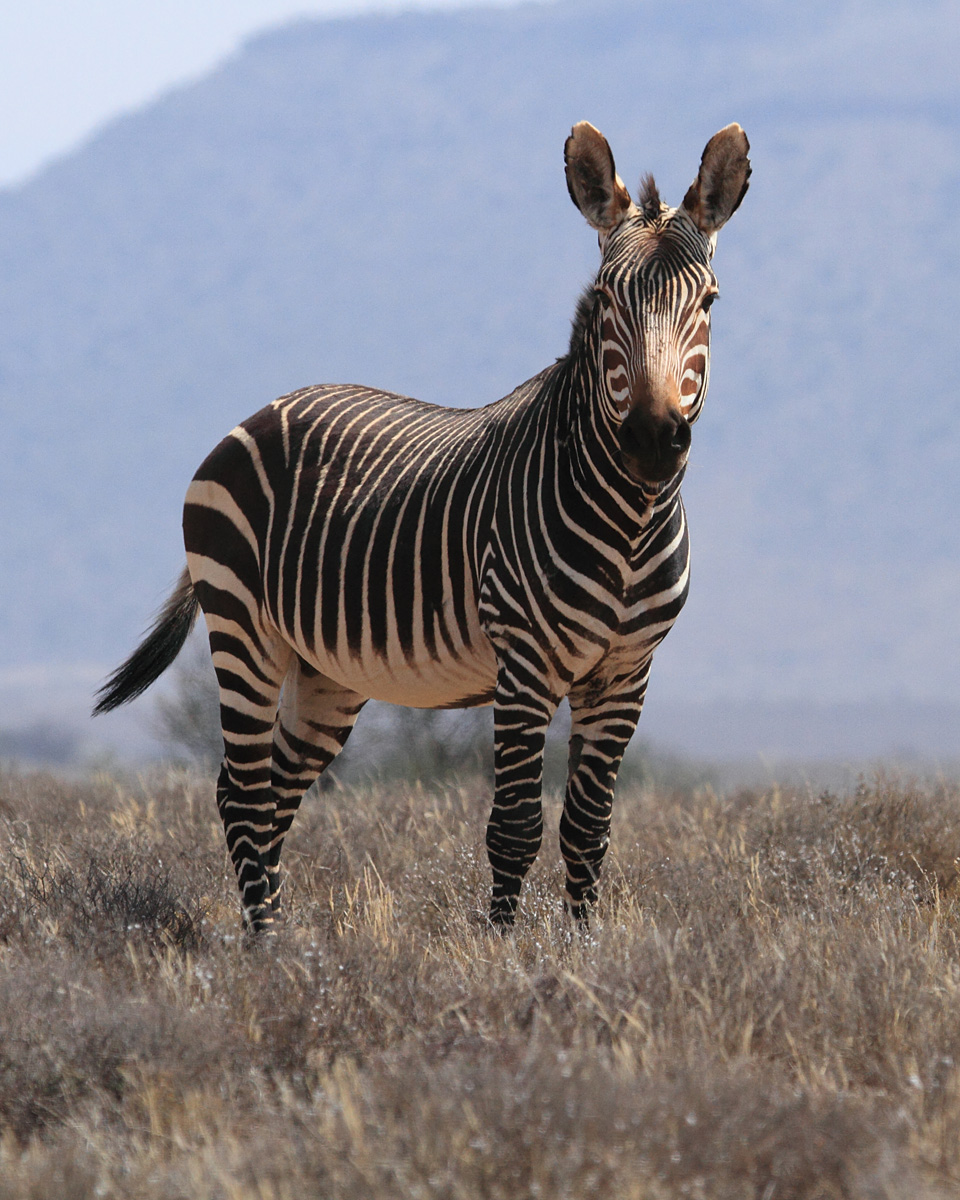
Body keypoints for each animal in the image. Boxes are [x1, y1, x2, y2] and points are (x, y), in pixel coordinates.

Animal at [95, 121, 750, 932]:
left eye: (711, 300)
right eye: (605, 298)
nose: (654, 442)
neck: (629, 522)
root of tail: (262, 410)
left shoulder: (627, 673)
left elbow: (589, 829)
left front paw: (584, 948)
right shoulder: (524, 666)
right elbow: (515, 827)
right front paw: (505, 950)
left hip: (327, 670)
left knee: (273, 793)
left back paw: (280, 939)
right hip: (244, 629)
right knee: (243, 794)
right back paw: (265, 947)